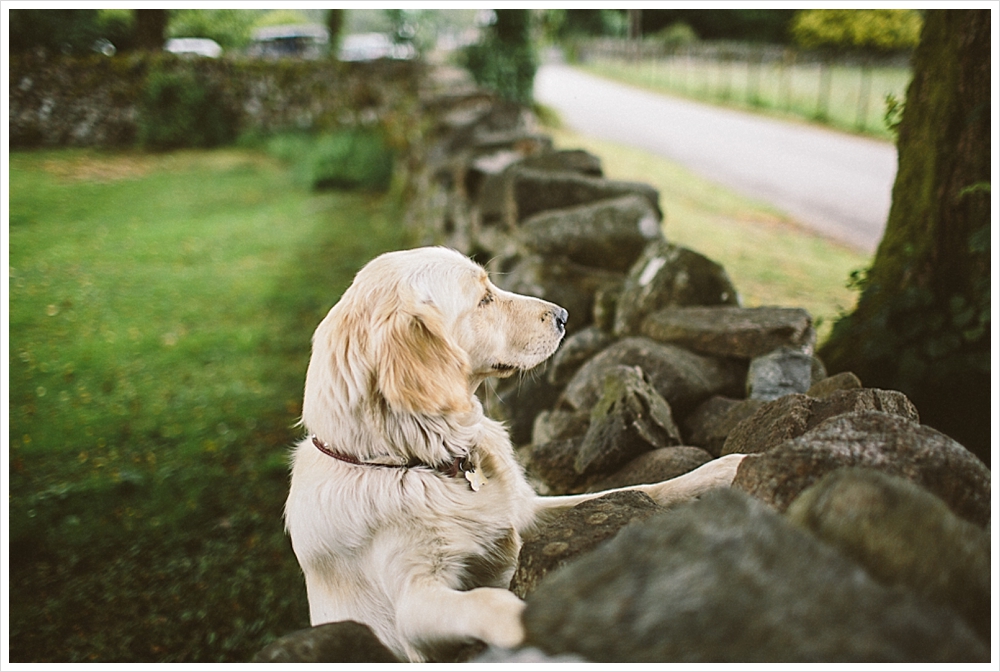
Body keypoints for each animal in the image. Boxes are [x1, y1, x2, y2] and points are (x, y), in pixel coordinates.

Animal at [282, 247, 744, 660]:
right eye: (484, 299)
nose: (563, 316)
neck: (417, 463)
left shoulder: (526, 512)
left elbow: (637, 489)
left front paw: (726, 468)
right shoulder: (411, 605)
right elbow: (489, 601)